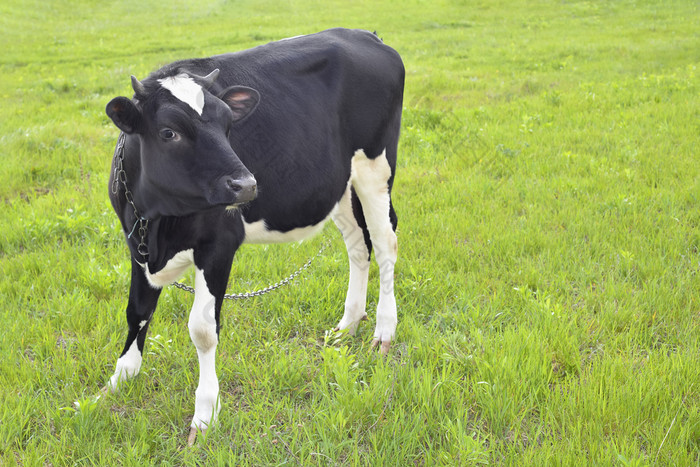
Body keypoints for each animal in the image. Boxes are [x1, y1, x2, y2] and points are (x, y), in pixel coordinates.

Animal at [101, 29, 402, 446]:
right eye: (168, 132)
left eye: (229, 125)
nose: (245, 185)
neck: (158, 220)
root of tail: (365, 35)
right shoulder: (136, 244)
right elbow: (137, 311)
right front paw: (119, 380)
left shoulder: (218, 246)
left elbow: (203, 330)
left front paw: (204, 415)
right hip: (340, 185)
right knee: (359, 246)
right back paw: (347, 327)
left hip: (376, 167)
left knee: (385, 242)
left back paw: (383, 332)